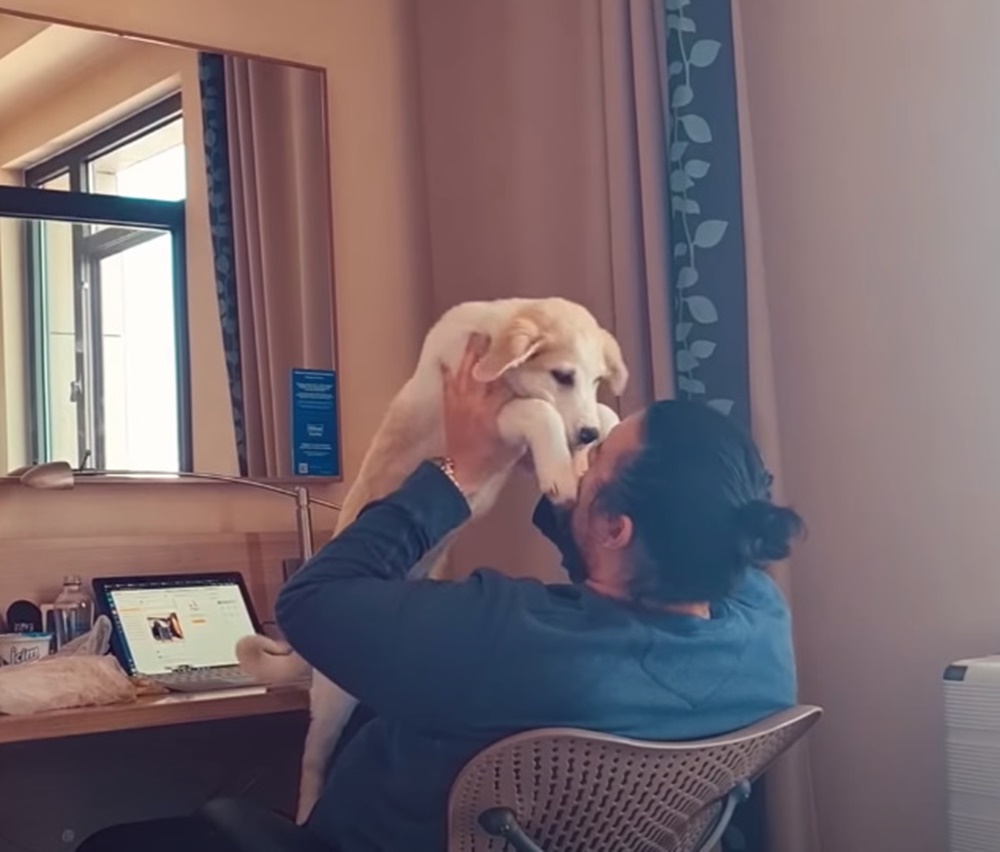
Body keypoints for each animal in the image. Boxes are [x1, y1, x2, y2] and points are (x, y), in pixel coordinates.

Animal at [236, 297, 627, 822]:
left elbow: (602, 411)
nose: (583, 436)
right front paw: (564, 472)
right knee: (312, 763)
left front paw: (603, 440)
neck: (488, 346)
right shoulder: (500, 417)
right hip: (334, 699)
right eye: (562, 375)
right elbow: (538, 409)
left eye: (595, 379)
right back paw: (305, 812)